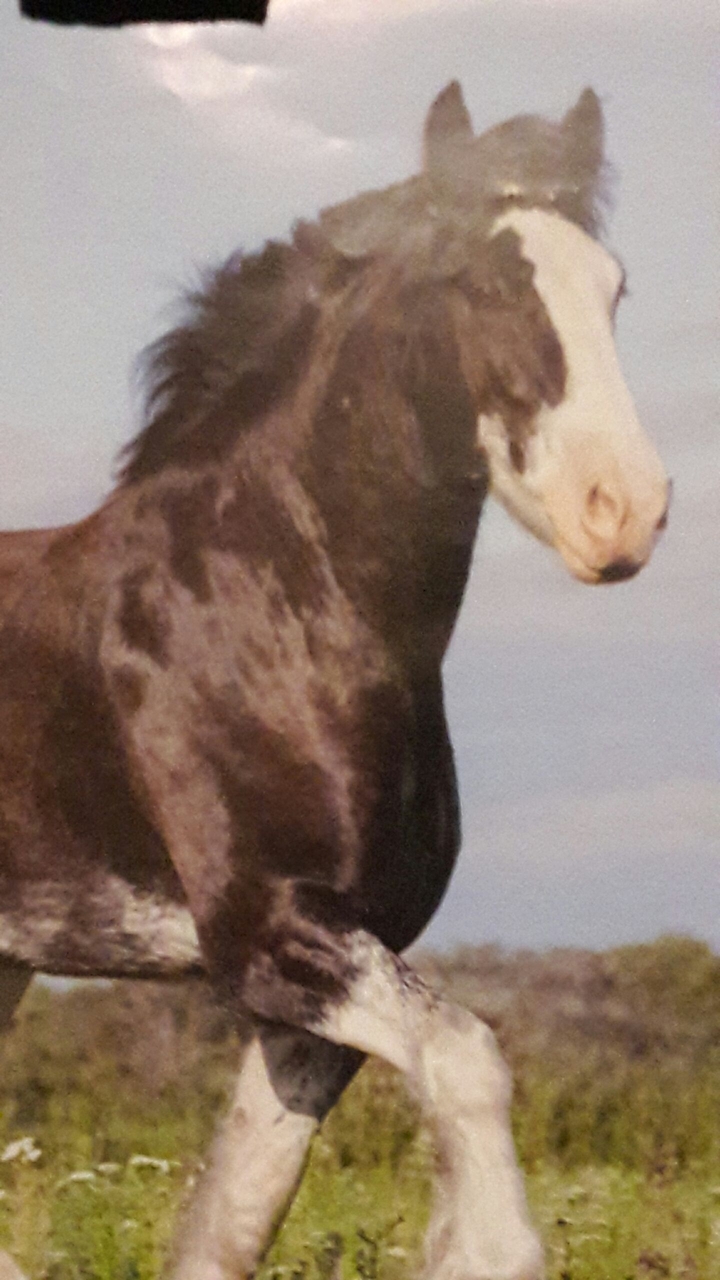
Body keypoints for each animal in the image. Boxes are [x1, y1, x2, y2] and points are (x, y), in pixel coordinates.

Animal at [0, 81, 669, 1280]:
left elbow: (232, 1218)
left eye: (614, 285)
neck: (275, 605)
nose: (624, 510)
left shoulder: (320, 995)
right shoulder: (270, 935)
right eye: (485, 280)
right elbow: (473, 1063)